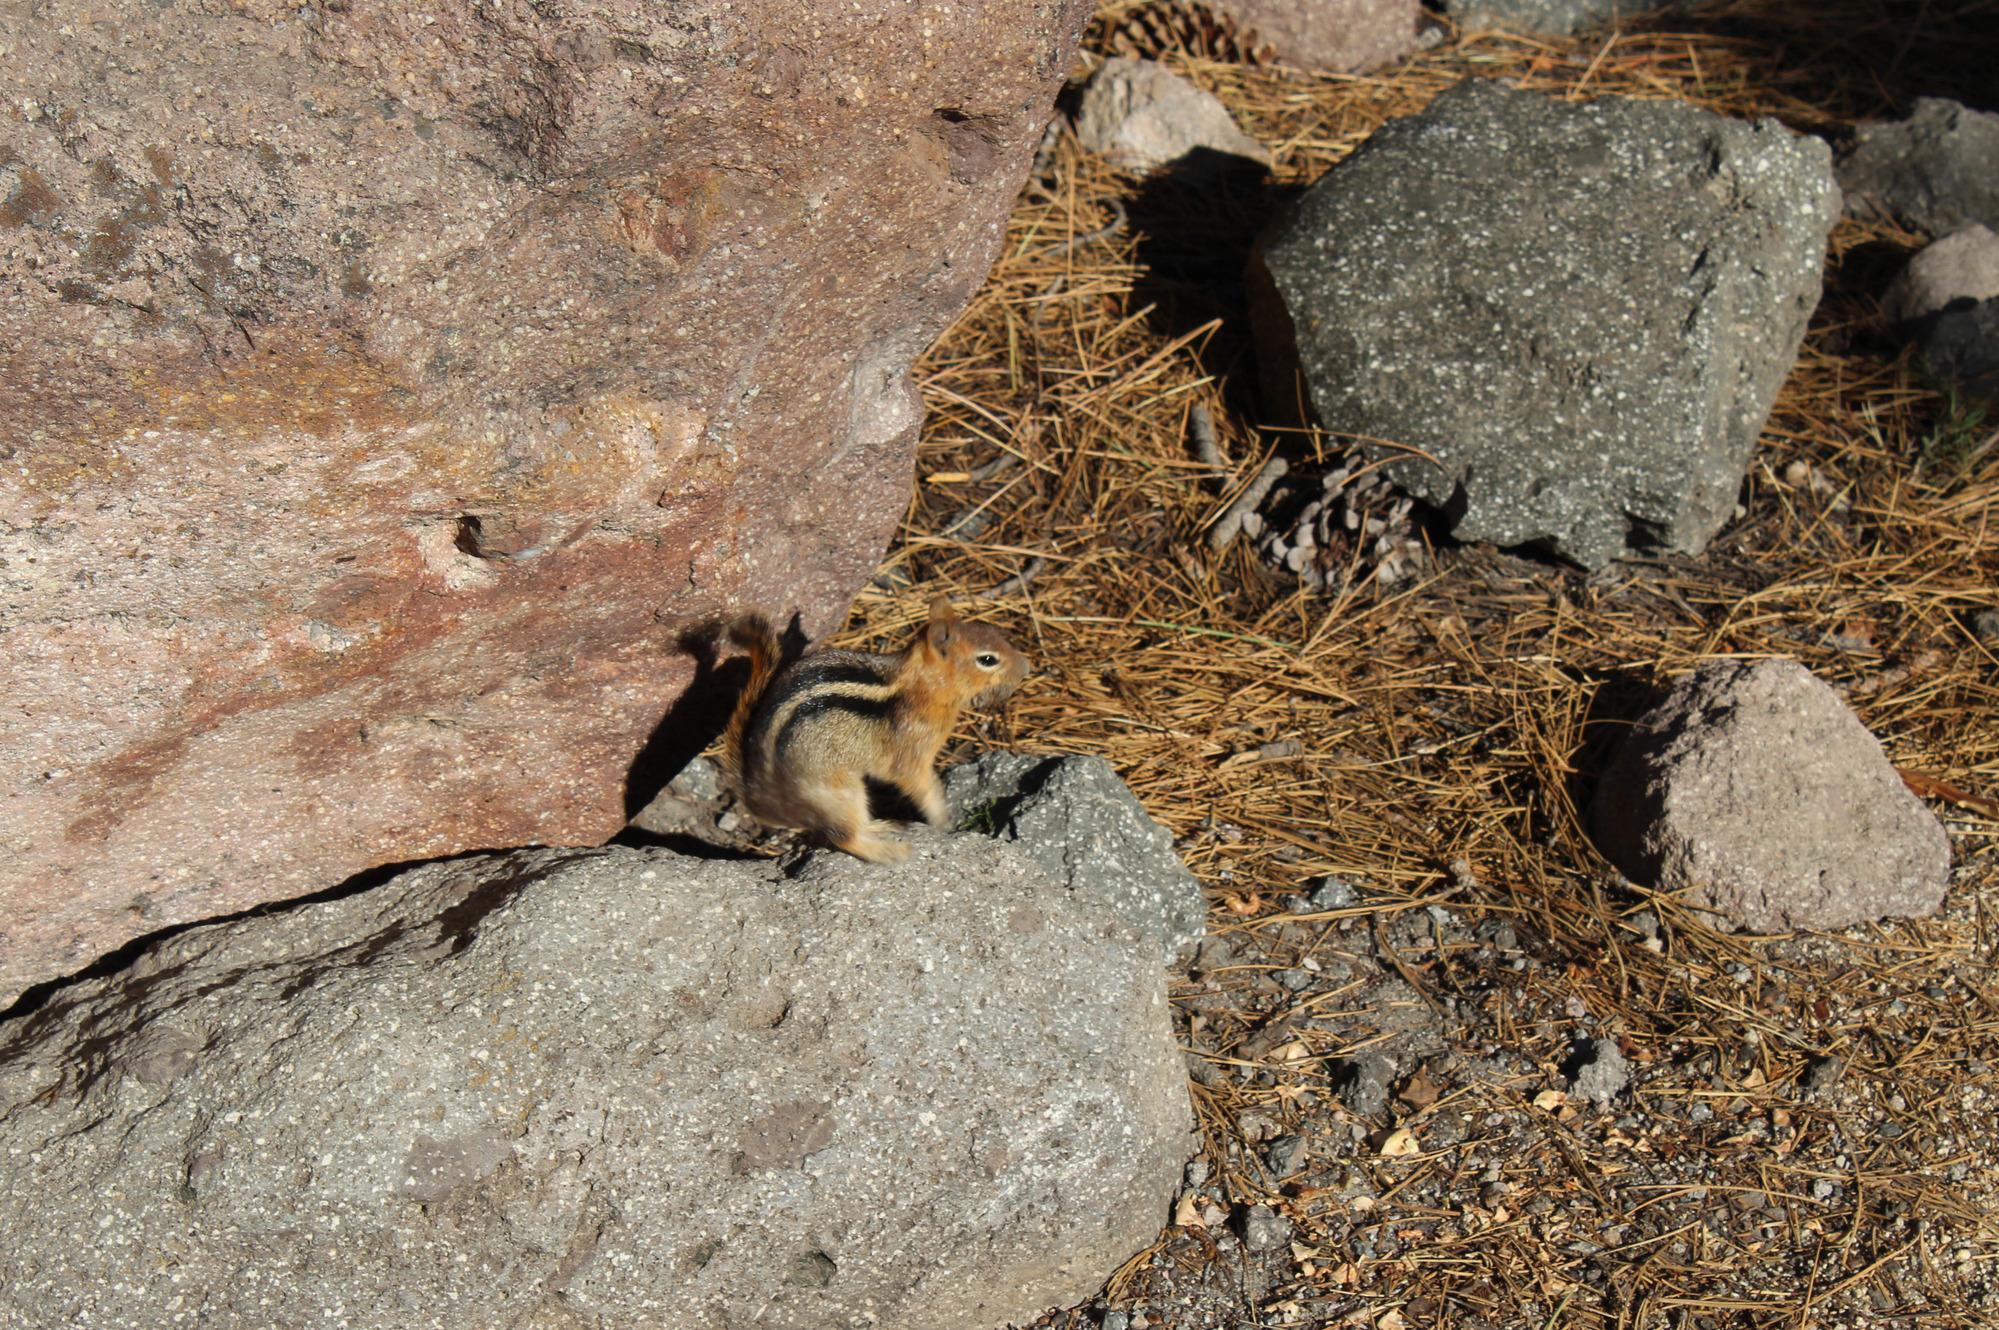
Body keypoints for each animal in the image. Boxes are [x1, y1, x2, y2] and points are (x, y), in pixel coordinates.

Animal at [720, 596, 1031, 864]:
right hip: (841, 795)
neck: (922, 686)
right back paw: (888, 851)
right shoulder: (911, 755)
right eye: (987, 660)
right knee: (843, 836)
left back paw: (879, 826)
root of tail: (763, 796)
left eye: (991, 630)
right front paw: (943, 821)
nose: (1026, 667)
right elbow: (923, 787)